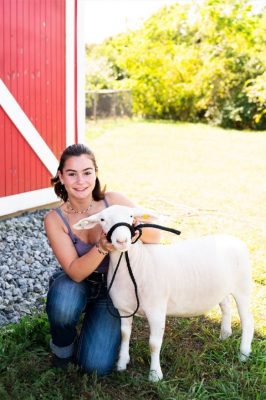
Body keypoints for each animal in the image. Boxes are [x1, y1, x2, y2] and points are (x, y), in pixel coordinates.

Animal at [74, 206, 255, 382]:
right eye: (102, 219)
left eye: (131, 216)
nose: (121, 241)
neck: (137, 262)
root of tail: (235, 239)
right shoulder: (123, 310)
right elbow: (124, 335)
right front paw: (121, 363)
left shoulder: (156, 310)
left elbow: (154, 343)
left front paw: (155, 375)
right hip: (222, 287)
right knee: (226, 306)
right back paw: (225, 335)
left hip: (243, 287)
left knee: (247, 320)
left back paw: (244, 354)